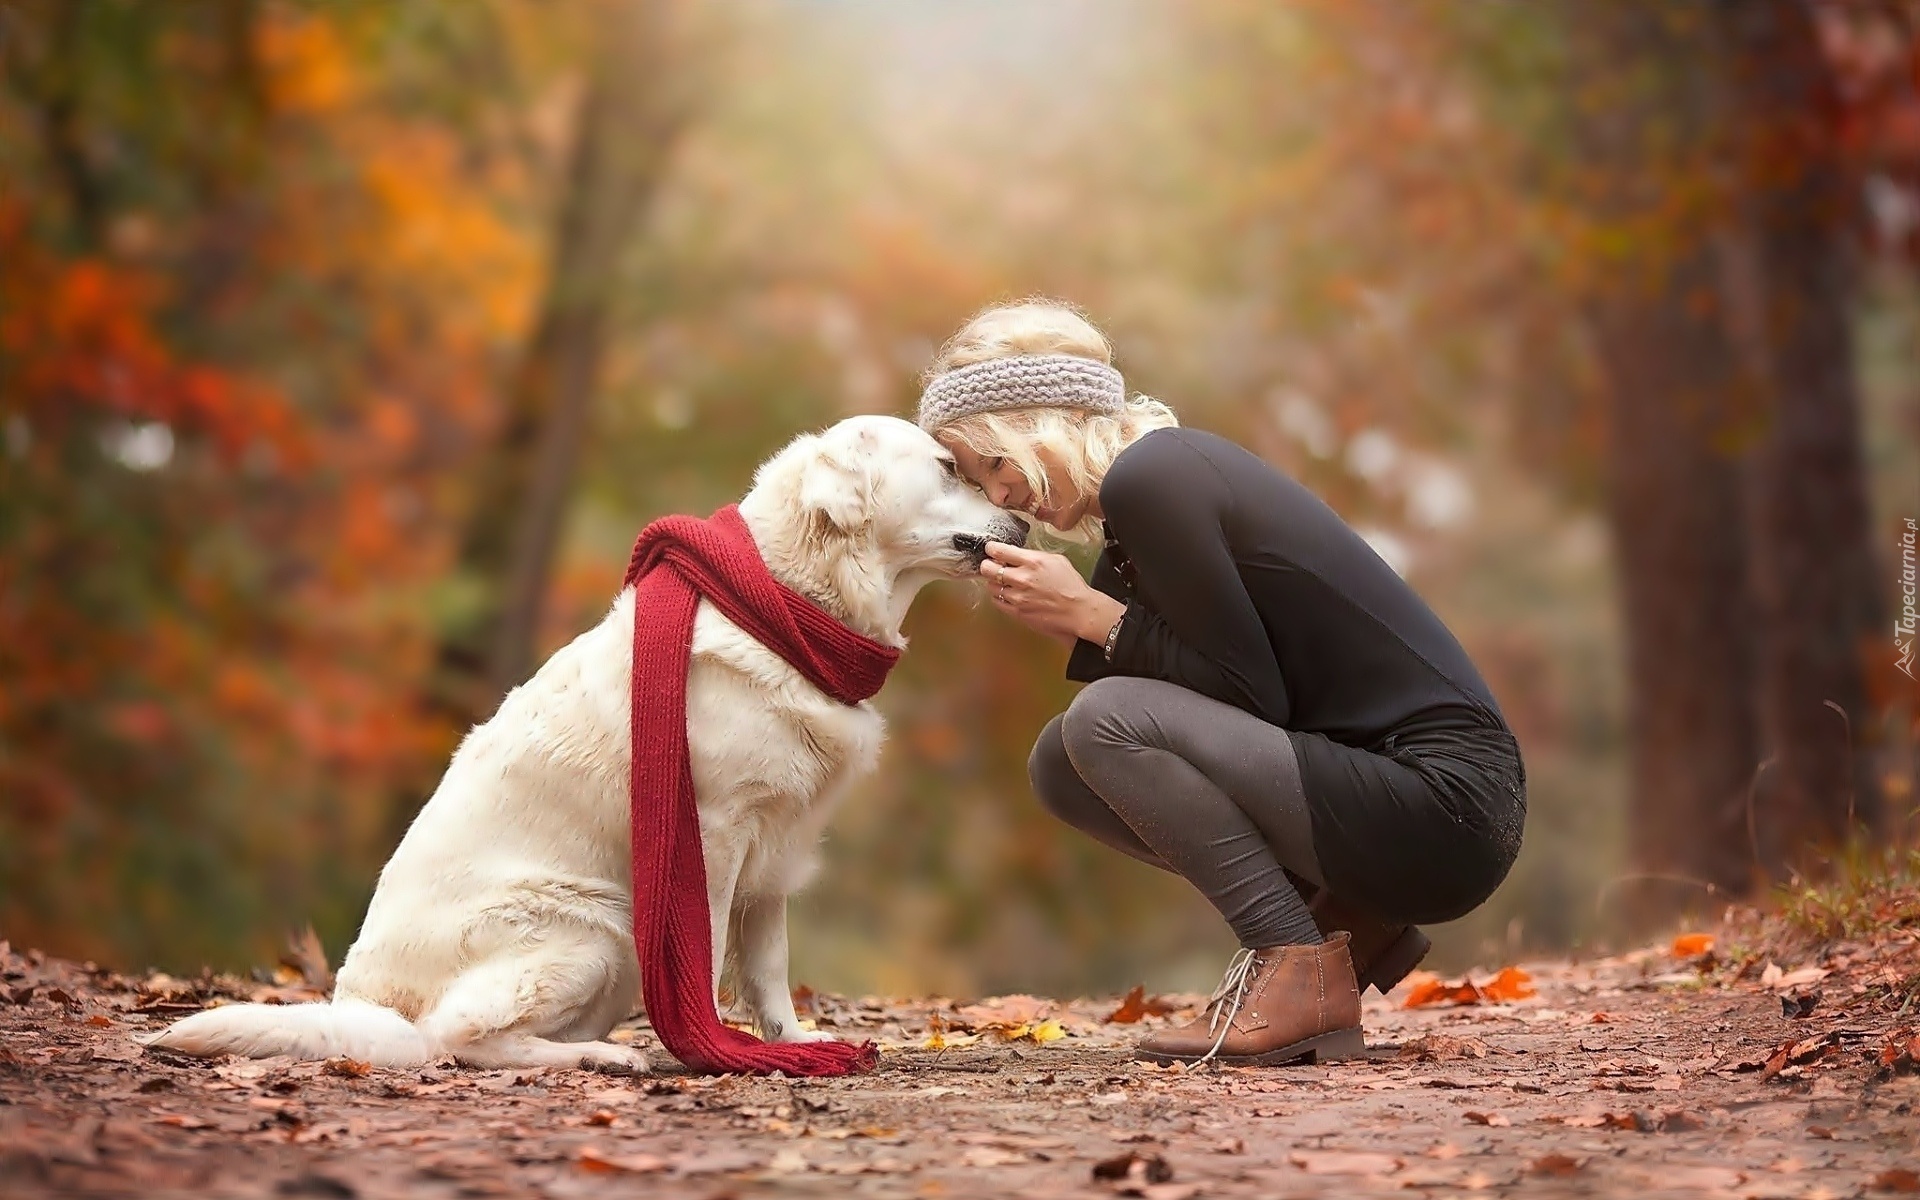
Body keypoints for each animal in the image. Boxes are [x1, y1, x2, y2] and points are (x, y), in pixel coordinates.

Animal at [149, 416, 1029, 1075]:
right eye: (948, 468)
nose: (1022, 519)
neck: (788, 604)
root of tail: (364, 1005)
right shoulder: (713, 833)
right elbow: (707, 951)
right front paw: (716, 1047)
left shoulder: (775, 851)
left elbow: (770, 966)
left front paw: (791, 1042)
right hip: (598, 927)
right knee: (454, 1040)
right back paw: (605, 1058)